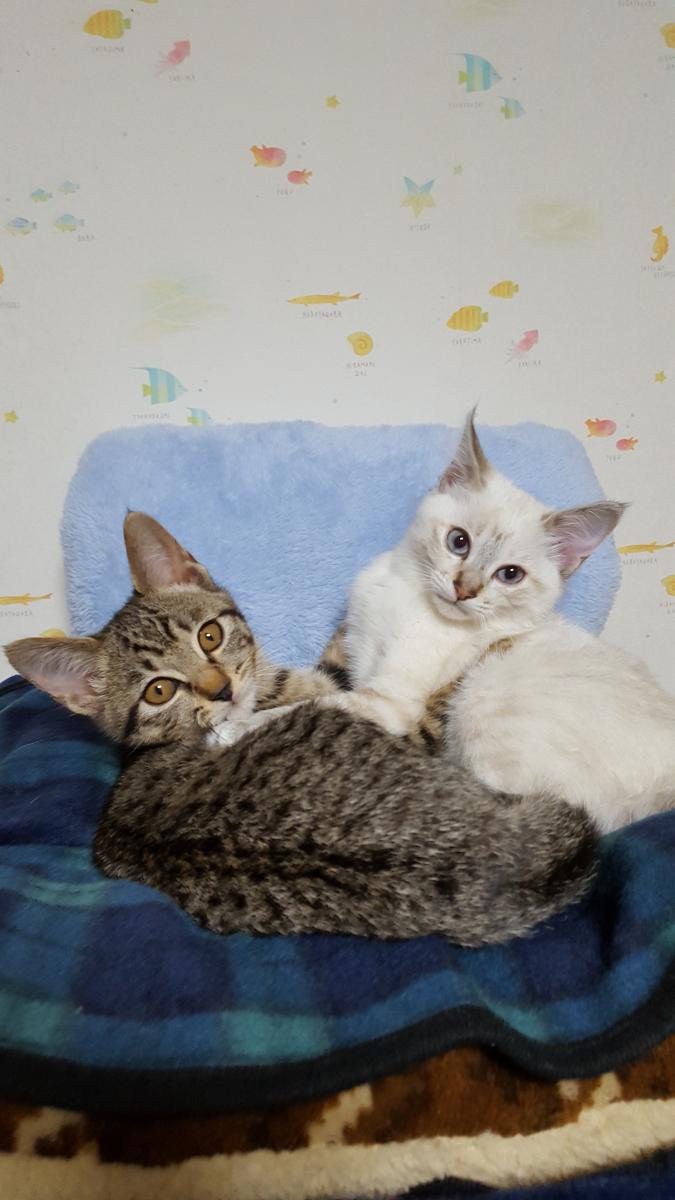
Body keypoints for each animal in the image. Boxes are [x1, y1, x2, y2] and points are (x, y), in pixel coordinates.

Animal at [317, 413, 675, 832]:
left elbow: (299, 709)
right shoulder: (356, 653)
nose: (464, 590)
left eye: (510, 575)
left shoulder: (387, 700)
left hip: (484, 704)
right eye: (458, 541)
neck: (407, 590)